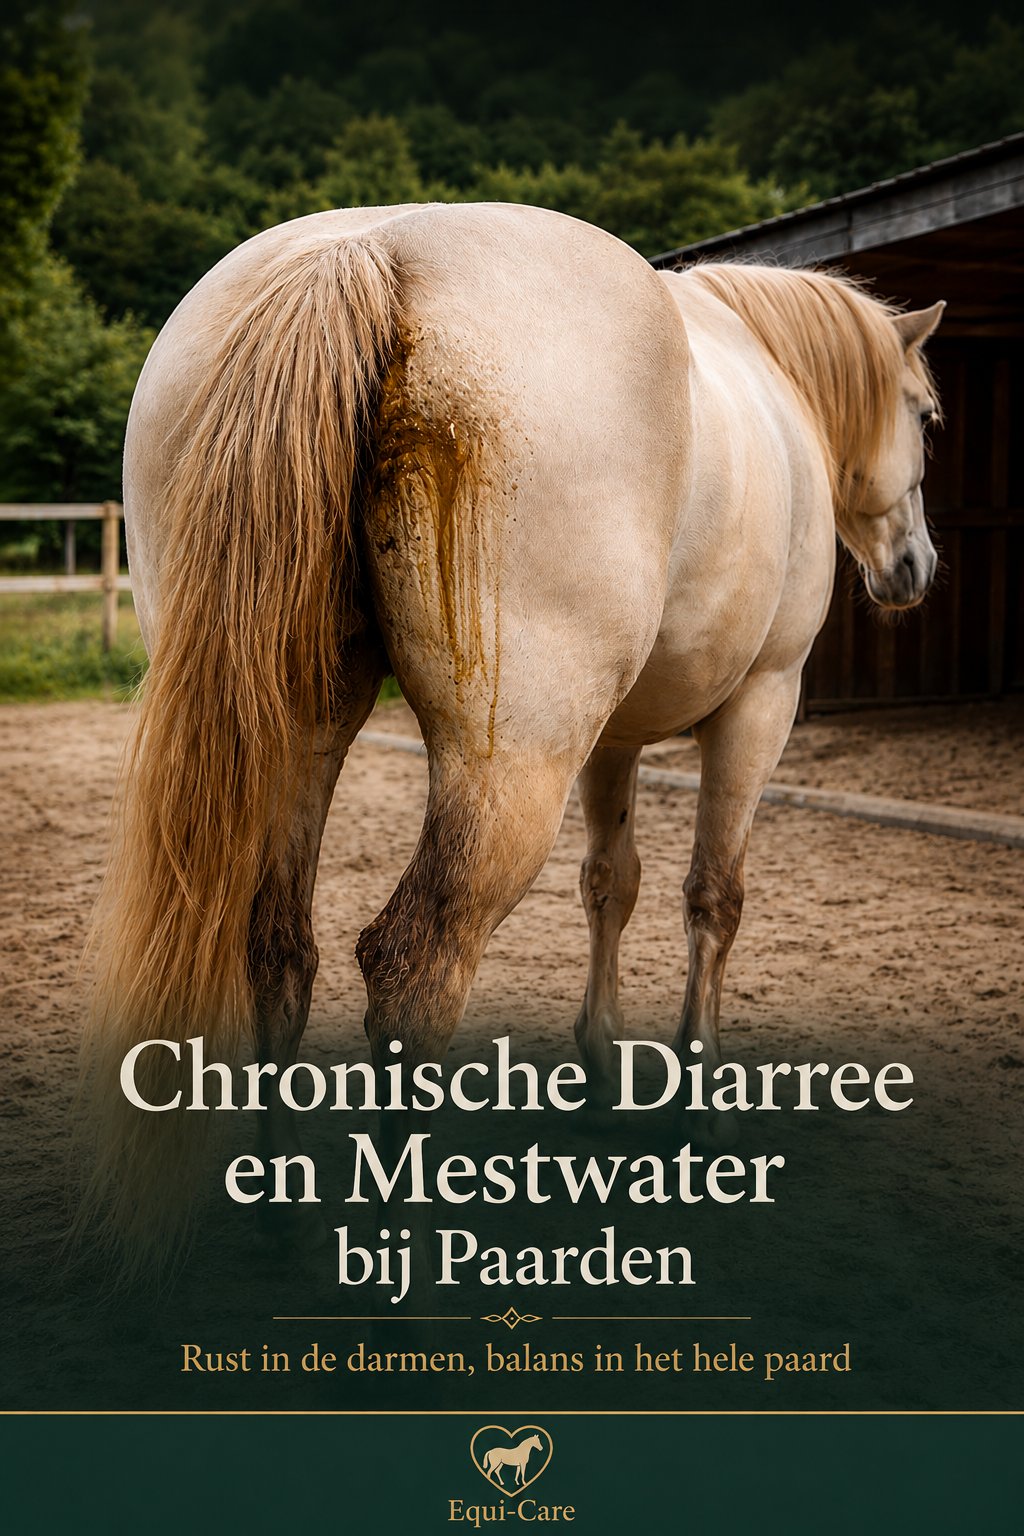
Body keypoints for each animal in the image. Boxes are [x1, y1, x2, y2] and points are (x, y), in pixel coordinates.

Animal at [75, 202, 942, 1269]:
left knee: (279, 950)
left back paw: (282, 1205)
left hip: (299, 733)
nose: (915, 567)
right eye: (926, 416)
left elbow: (612, 884)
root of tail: (367, 253)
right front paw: (703, 1105)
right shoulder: (760, 706)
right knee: (412, 967)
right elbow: (713, 900)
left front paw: (604, 1066)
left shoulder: (613, 741)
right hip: (512, 766)